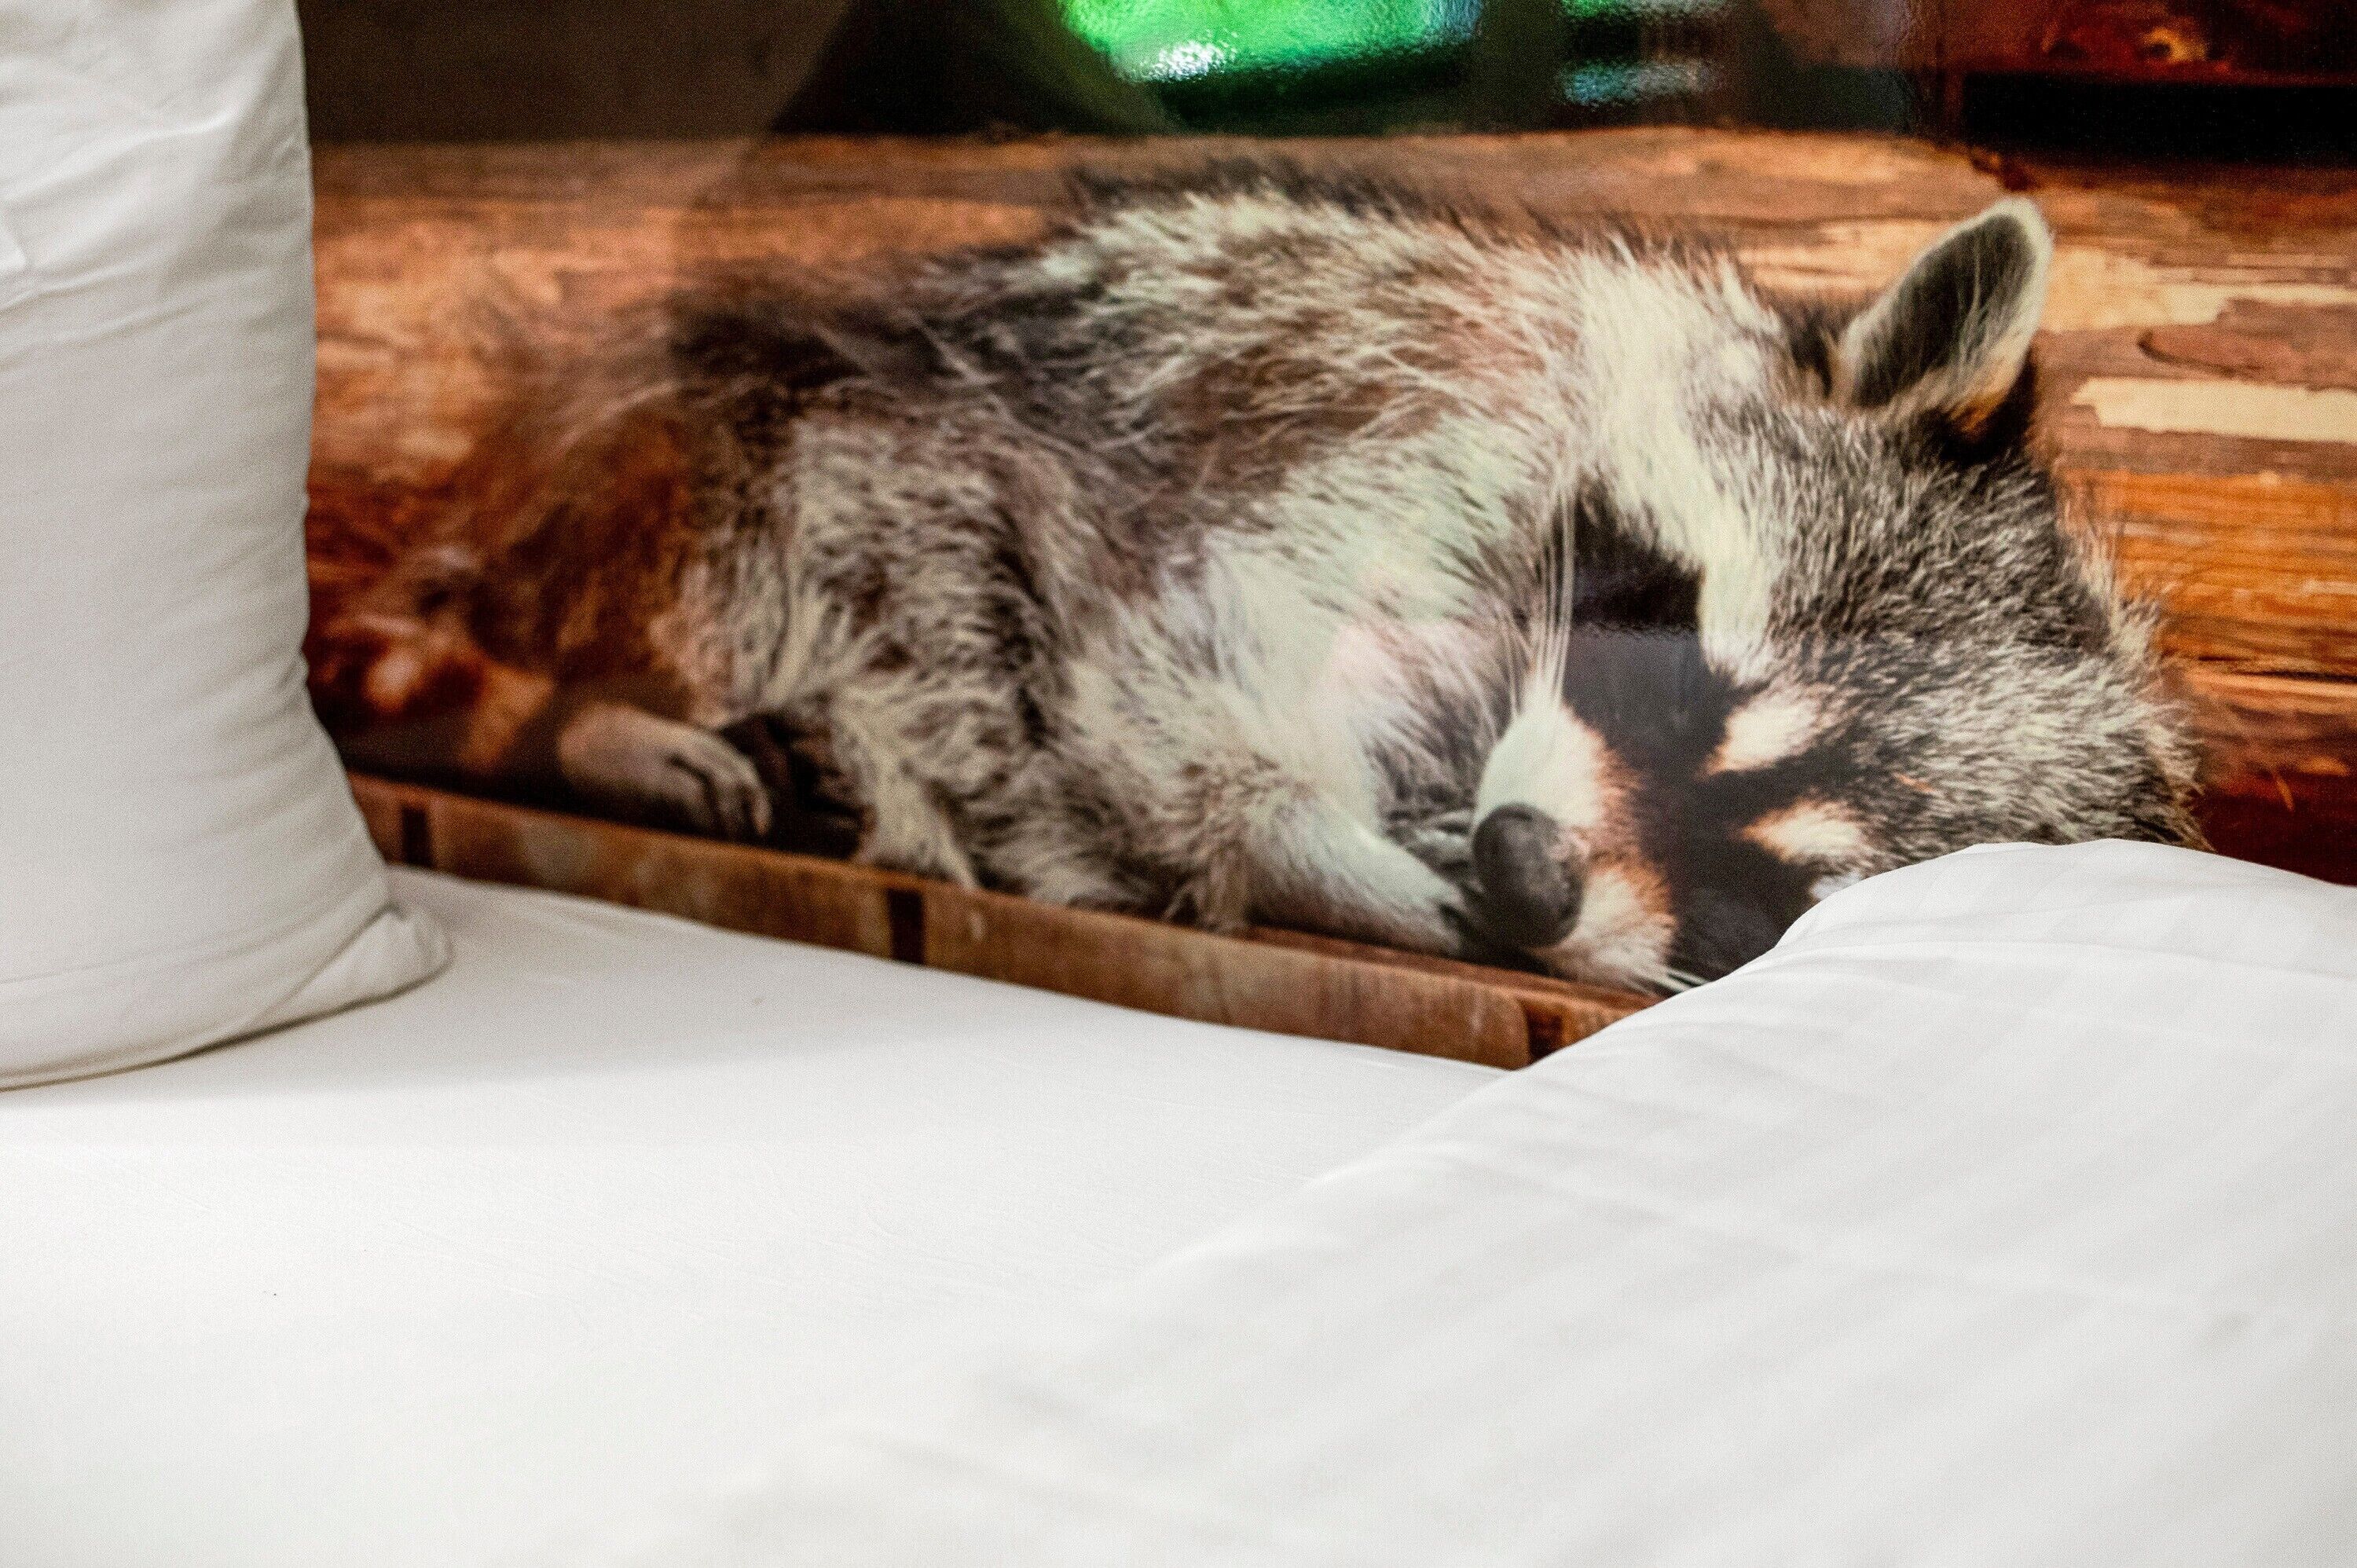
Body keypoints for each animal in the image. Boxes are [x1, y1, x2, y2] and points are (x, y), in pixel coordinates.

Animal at [315, 165, 2201, 992]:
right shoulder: (1384, 475)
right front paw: (1320, 849)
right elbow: (1164, 702)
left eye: (1767, 896)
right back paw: (597, 717)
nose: (1524, 871)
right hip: (737, 457)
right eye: (1680, 666)